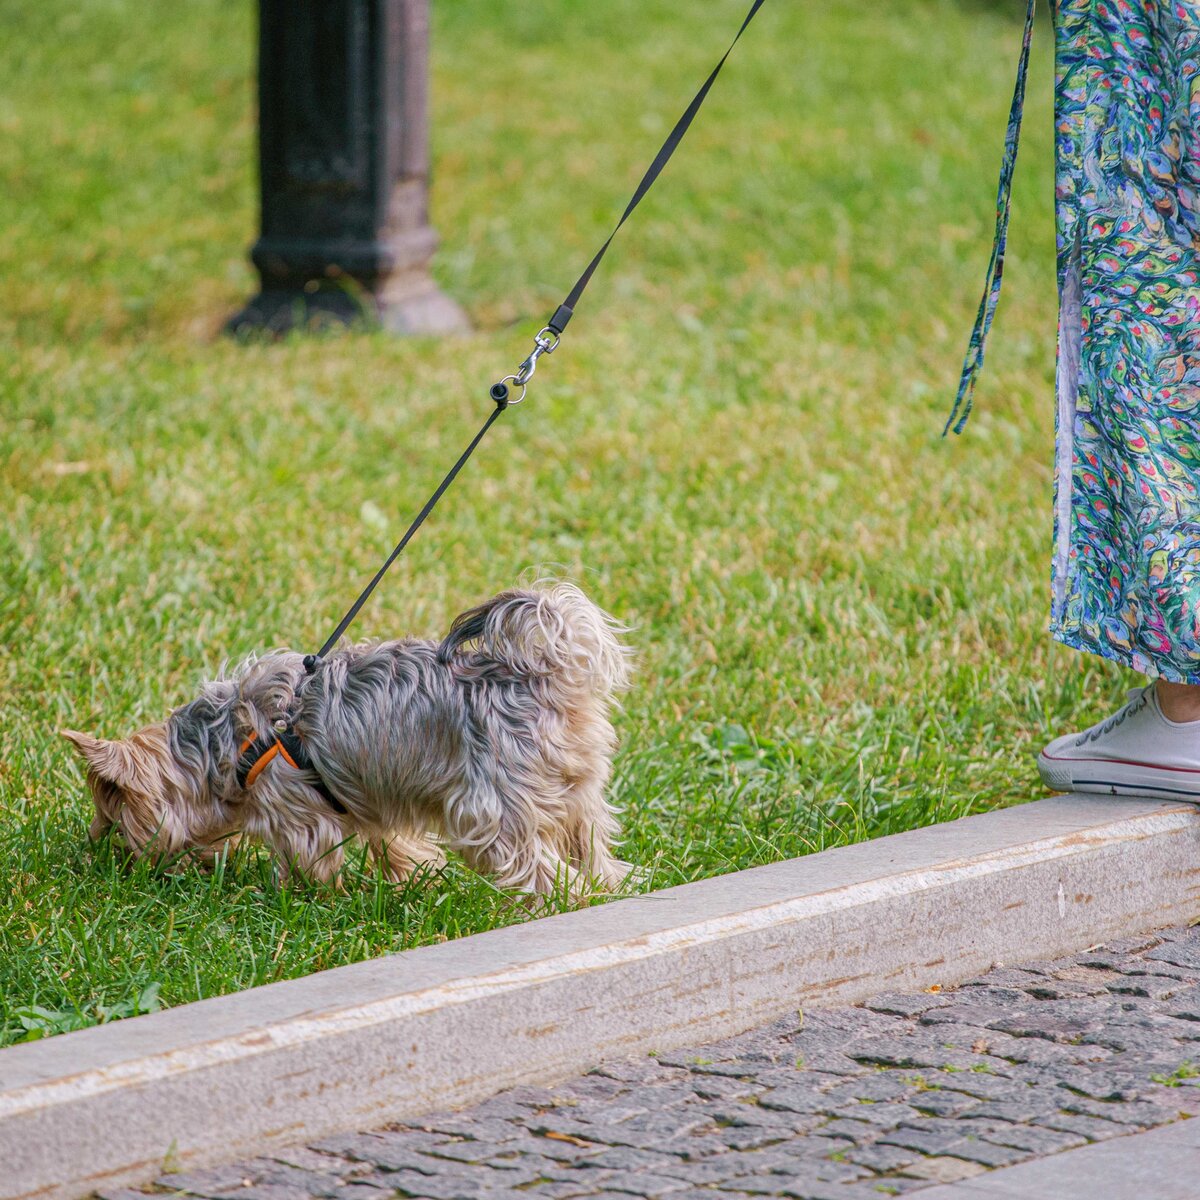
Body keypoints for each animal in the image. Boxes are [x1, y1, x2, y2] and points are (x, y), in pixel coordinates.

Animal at [64, 585, 633, 897]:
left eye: (116, 821)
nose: (101, 857)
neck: (217, 743)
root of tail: (546, 673)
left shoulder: (297, 814)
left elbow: (307, 862)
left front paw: (293, 899)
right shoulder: (370, 796)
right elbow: (397, 845)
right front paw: (415, 877)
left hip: (490, 808)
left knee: (535, 864)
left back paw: (567, 901)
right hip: (577, 791)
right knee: (591, 844)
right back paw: (612, 886)